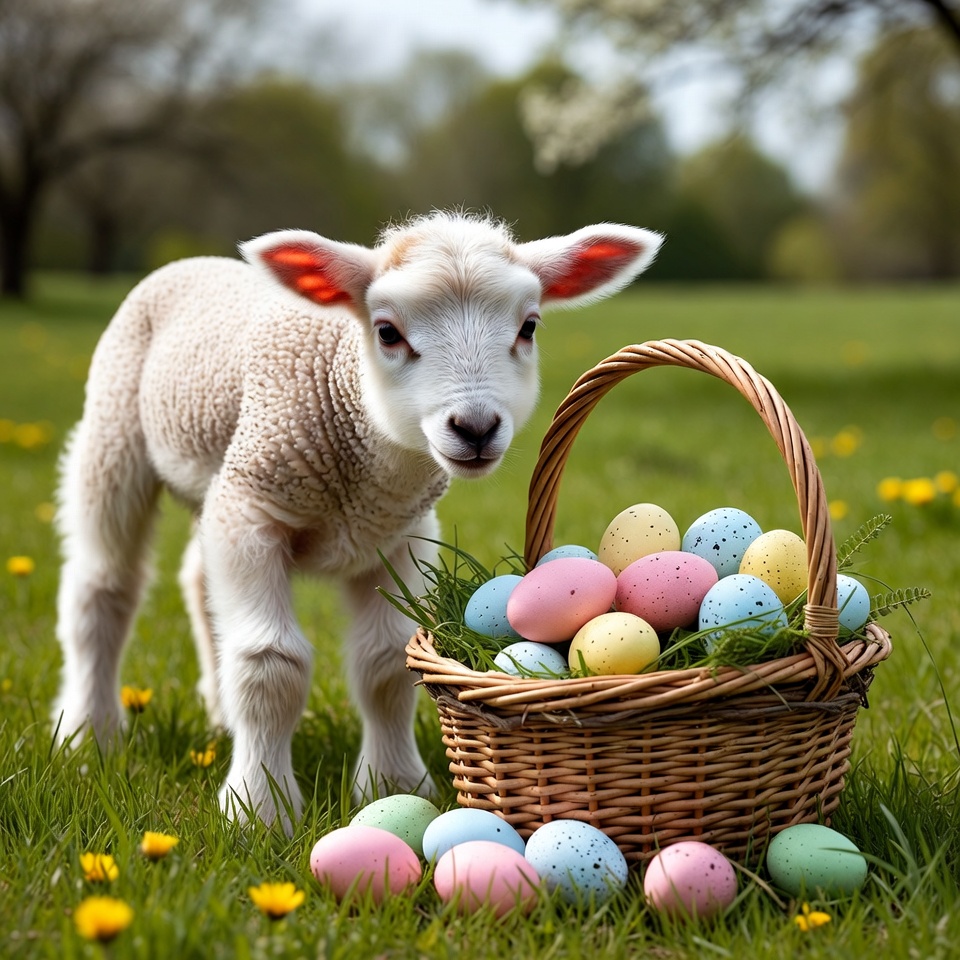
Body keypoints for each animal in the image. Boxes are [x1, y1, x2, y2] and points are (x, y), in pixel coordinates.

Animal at [52, 210, 663, 830]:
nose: (475, 428)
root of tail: (194, 263)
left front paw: (393, 783)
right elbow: (270, 664)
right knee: (104, 586)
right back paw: (89, 733)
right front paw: (260, 810)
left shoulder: (395, 536)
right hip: (115, 434)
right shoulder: (253, 512)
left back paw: (219, 716)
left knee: (197, 580)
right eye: (388, 332)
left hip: (216, 481)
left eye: (530, 327)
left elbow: (386, 663)